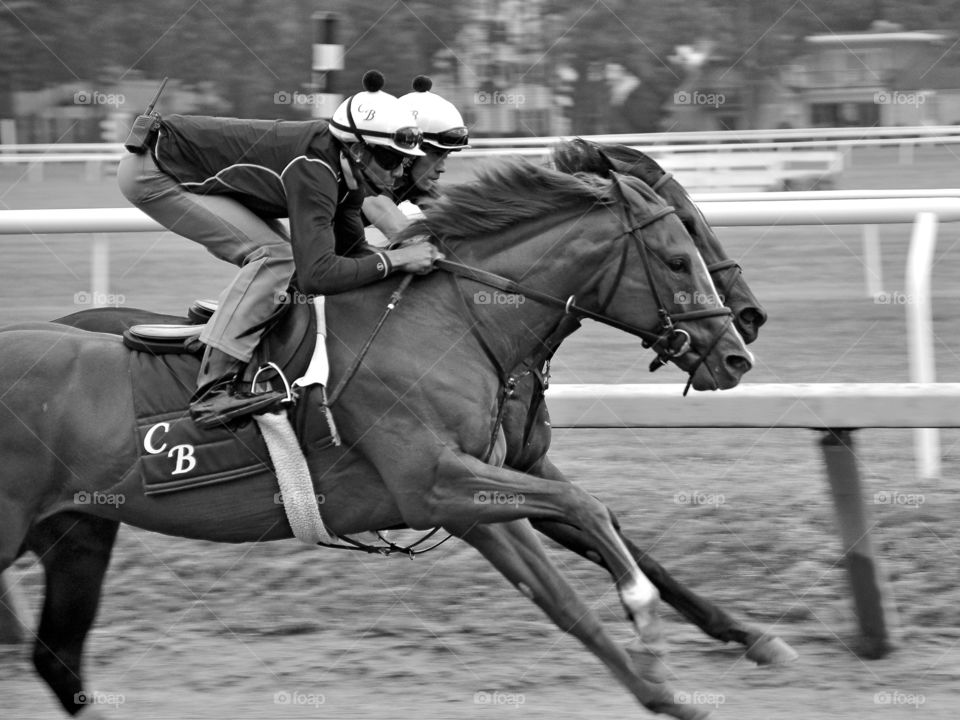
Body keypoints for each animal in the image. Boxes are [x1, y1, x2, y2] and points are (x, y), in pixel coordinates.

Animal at [1, 160, 752, 719]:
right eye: (678, 258)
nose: (738, 352)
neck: (453, 321)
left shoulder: (475, 495)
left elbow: (566, 587)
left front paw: (680, 680)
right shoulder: (436, 484)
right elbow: (588, 513)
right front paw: (647, 622)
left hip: (78, 533)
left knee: (56, 657)